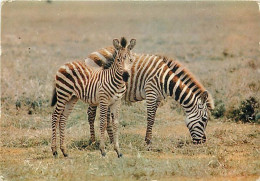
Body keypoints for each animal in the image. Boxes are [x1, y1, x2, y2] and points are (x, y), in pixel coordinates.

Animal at [85, 48, 213, 148]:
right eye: (204, 119)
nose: (203, 142)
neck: (166, 80)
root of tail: (91, 54)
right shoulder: (151, 92)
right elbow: (150, 118)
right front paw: (148, 142)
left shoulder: (158, 97)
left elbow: (154, 118)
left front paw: (149, 140)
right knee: (91, 114)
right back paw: (93, 141)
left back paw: (111, 141)